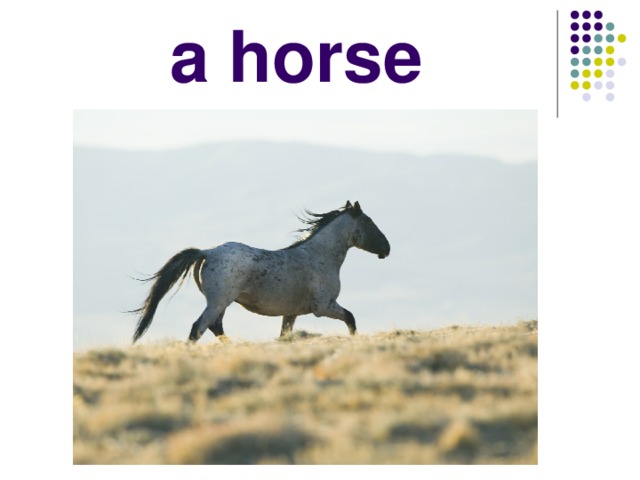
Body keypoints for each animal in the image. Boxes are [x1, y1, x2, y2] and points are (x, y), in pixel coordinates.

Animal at [130, 200, 390, 343]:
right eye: (369, 222)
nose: (386, 249)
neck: (319, 256)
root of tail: (207, 252)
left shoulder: (291, 313)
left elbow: (285, 336)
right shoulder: (323, 307)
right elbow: (351, 319)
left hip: (221, 303)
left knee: (215, 327)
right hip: (219, 301)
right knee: (199, 328)